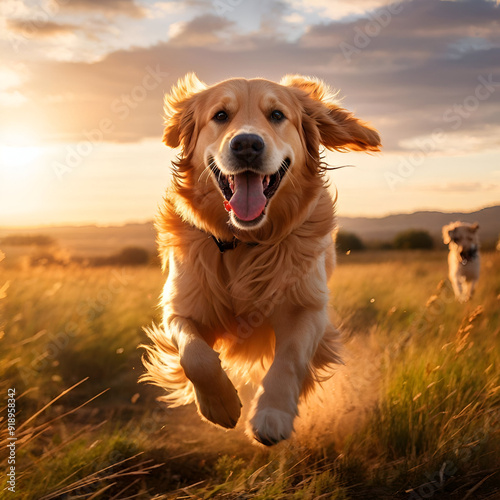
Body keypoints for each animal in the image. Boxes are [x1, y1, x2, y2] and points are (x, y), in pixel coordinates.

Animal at [143, 74, 380, 446]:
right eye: (221, 115)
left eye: (277, 115)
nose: (247, 145)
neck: (244, 243)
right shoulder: (181, 306)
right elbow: (195, 355)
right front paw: (220, 403)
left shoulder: (307, 306)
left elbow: (290, 357)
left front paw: (272, 413)